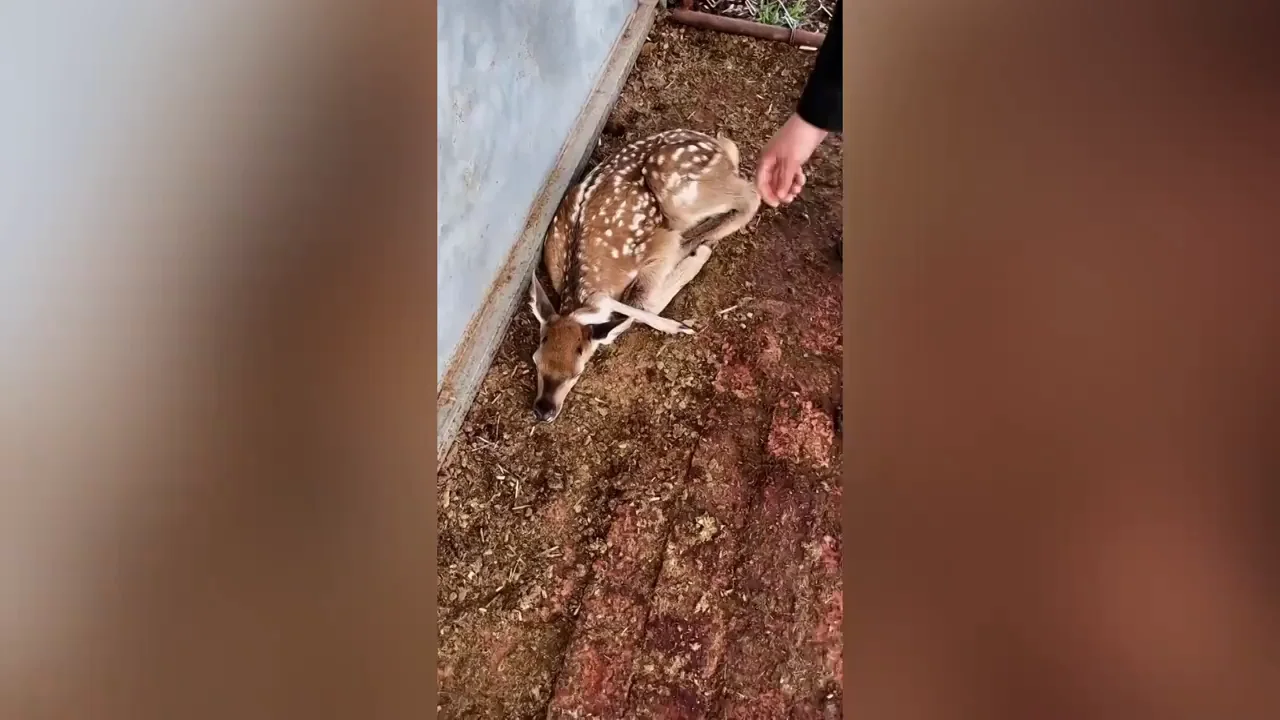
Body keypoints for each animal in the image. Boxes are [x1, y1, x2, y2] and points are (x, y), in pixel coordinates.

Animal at [528, 128, 761, 422]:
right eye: (536, 360)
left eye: (576, 372)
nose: (542, 410)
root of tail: (713, 144)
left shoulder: (658, 251)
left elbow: (643, 303)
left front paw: (679, 323)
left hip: (678, 195)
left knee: (751, 195)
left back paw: (705, 239)